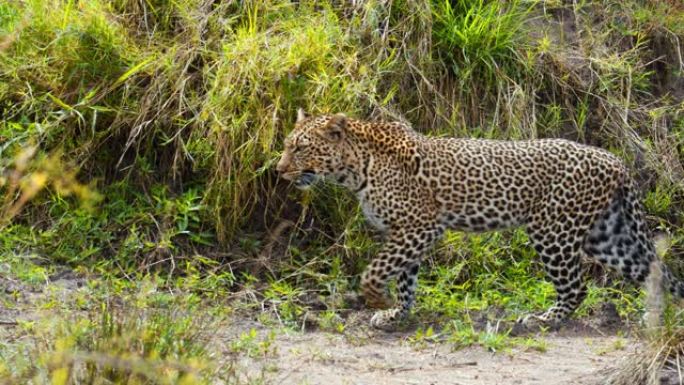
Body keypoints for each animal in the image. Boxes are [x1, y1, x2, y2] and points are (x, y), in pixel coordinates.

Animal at [276, 109, 680, 328]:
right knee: (652, 270)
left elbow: (374, 272)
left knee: (576, 286)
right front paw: (396, 314)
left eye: (300, 147)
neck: (355, 168)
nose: (279, 170)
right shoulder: (409, 233)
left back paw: (545, 320)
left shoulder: (419, 226)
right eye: (285, 145)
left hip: (552, 231)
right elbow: (405, 280)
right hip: (605, 236)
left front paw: (378, 302)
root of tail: (615, 161)